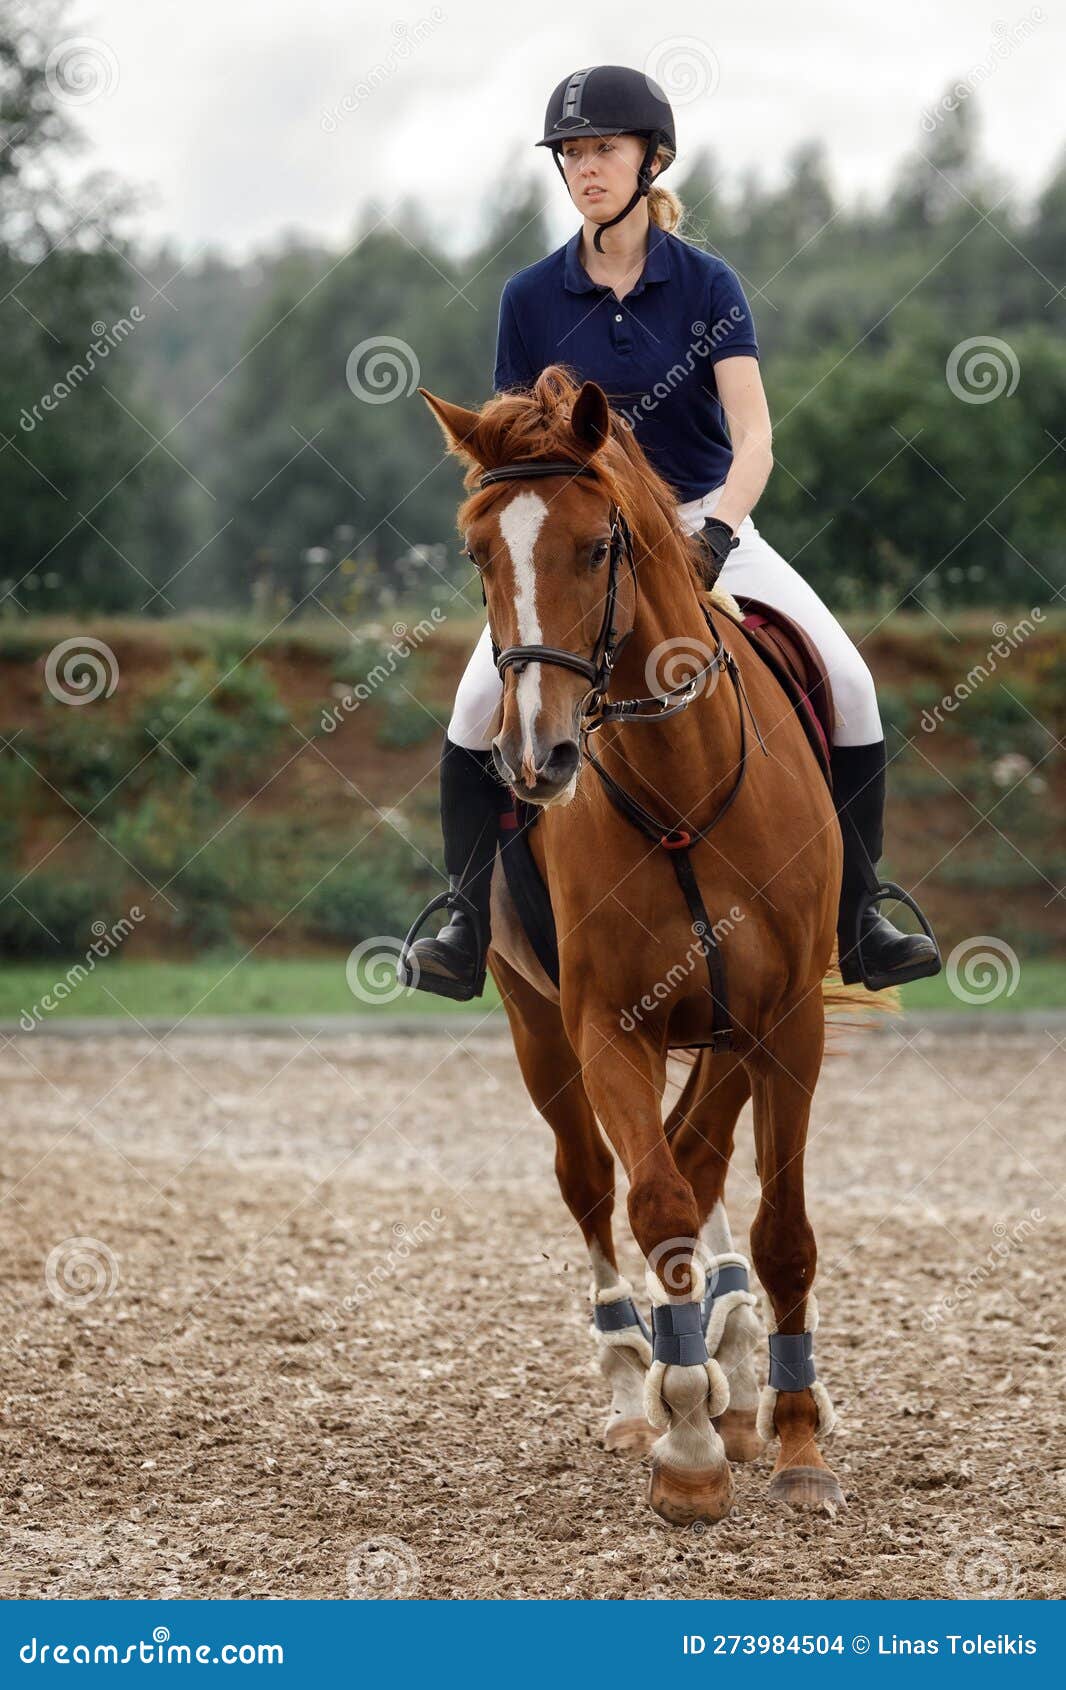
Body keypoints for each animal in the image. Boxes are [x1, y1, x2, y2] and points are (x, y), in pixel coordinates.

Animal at [415, 363, 851, 1527]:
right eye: (477, 552)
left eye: (594, 546)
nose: (537, 758)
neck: (681, 784)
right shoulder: (608, 1022)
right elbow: (652, 1198)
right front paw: (687, 1437)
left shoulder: (783, 1019)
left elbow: (776, 1226)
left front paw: (793, 1434)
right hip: (536, 1026)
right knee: (593, 1181)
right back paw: (635, 1380)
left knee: (700, 1160)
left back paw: (730, 1357)